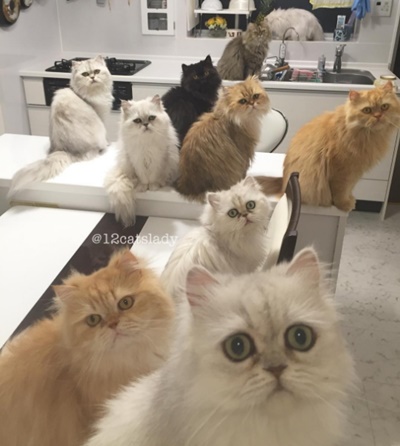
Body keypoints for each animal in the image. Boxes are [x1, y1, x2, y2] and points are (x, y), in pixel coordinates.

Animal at [8, 55, 113, 197]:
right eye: (85, 74)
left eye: (97, 71)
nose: (92, 77)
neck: (88, 94)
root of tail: (63, 149)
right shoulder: (101, 116)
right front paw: (109, 143)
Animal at [105, 95, 180, 227]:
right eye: (137, 121)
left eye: (151, 118)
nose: (145, 124)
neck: (146, 143)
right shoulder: (137, 160)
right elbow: (144, 178)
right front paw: (144, 187)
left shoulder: (157, 159)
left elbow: (153, 177)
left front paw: (153, 187)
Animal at [257, 81, 400, 212]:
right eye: (367, 110)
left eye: (384, 107)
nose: (378, 116)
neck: (368, 136)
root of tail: (283, 183)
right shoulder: (342, 171)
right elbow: (341, 192)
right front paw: (344, 205)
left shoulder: (355, 172)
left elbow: (349, 189)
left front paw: (350, 199)